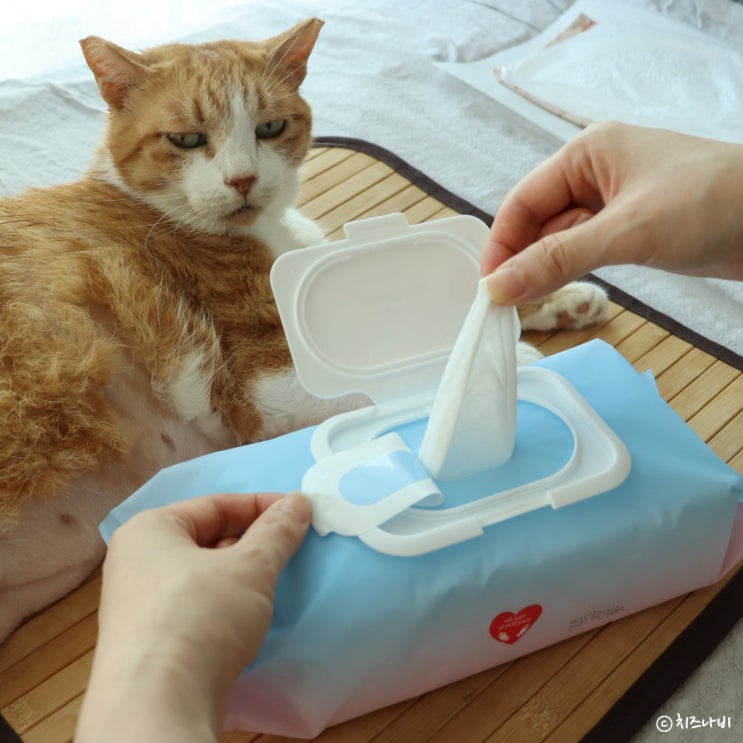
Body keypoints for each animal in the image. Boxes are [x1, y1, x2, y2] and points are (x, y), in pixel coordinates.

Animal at [0, 18, 607, 643]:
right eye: (187, 139)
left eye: (270, 128)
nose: (243, 179)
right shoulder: (266, 390)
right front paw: (517, 366)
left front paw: (563, 299)